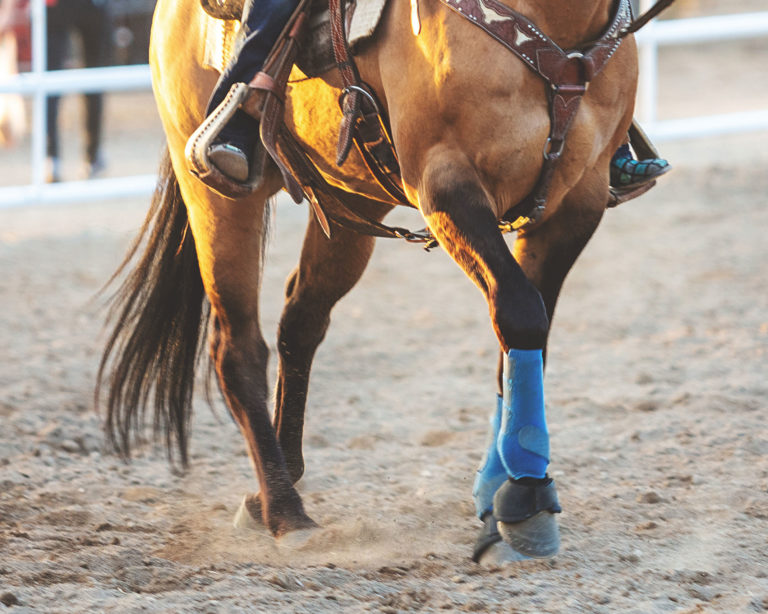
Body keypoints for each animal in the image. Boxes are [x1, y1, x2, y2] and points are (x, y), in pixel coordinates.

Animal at [99, 0, 645, 564]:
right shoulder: (446, 186)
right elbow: (519, 313)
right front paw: (525, 499)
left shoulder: (577, 202)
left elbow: (519, 342)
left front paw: (497, 494)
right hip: (219, 202)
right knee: (237, 349)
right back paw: (286, 513)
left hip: (349, 202)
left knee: (300, 324)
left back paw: (274, 488)